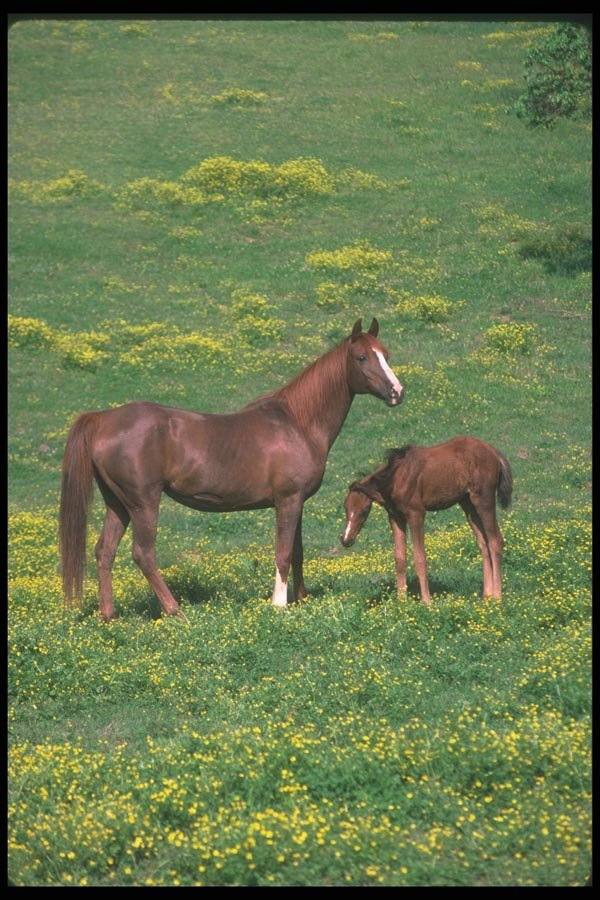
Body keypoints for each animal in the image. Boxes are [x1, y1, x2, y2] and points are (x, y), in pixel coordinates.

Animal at [60, 318, 403, 620]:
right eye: (361, 357)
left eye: (386, 354)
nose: (397, 392)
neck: (297, 423)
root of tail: (104, 419)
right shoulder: (287, 500)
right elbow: (282, 553)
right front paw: (279, 606)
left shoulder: (297, 502)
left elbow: (297, 552)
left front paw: (301, 600)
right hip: (143, 503)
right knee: (143, 554)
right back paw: (176, 612)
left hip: (117, 504)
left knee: (105, 551)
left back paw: (109, 616)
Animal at [340, 436, 513, 604]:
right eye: (345, 508)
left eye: (363, 512)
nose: (346, 540)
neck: (395, 477)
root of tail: (494, 452)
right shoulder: (395, 517)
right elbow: (399, 558)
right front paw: (401, 601)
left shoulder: (416, 514)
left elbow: (420, 559)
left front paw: (426, 602)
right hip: (468, 504)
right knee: (483, 544)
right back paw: (487, 596)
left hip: (484, 500)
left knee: (495, 541)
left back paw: (497, 598)